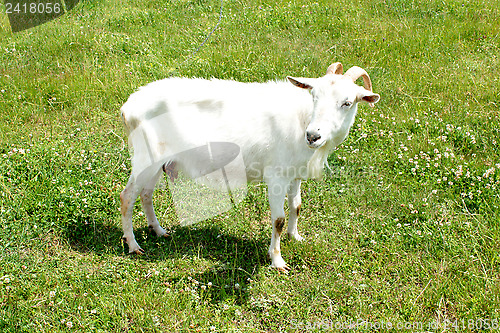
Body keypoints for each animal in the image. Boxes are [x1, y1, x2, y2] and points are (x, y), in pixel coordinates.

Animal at [120, 62, 378, 270]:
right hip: (145, 158)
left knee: (146, 194)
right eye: (313, 96)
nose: (313, 135)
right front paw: (277, 260)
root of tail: (129, 106)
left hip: (159, 162)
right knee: (127, 196)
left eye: (347, 103)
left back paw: (158, 230)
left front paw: (295, 237)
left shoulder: (295, 174)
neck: (301, 118)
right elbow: (278, 219)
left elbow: (296, 206)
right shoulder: (276, 176)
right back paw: (133, 245)